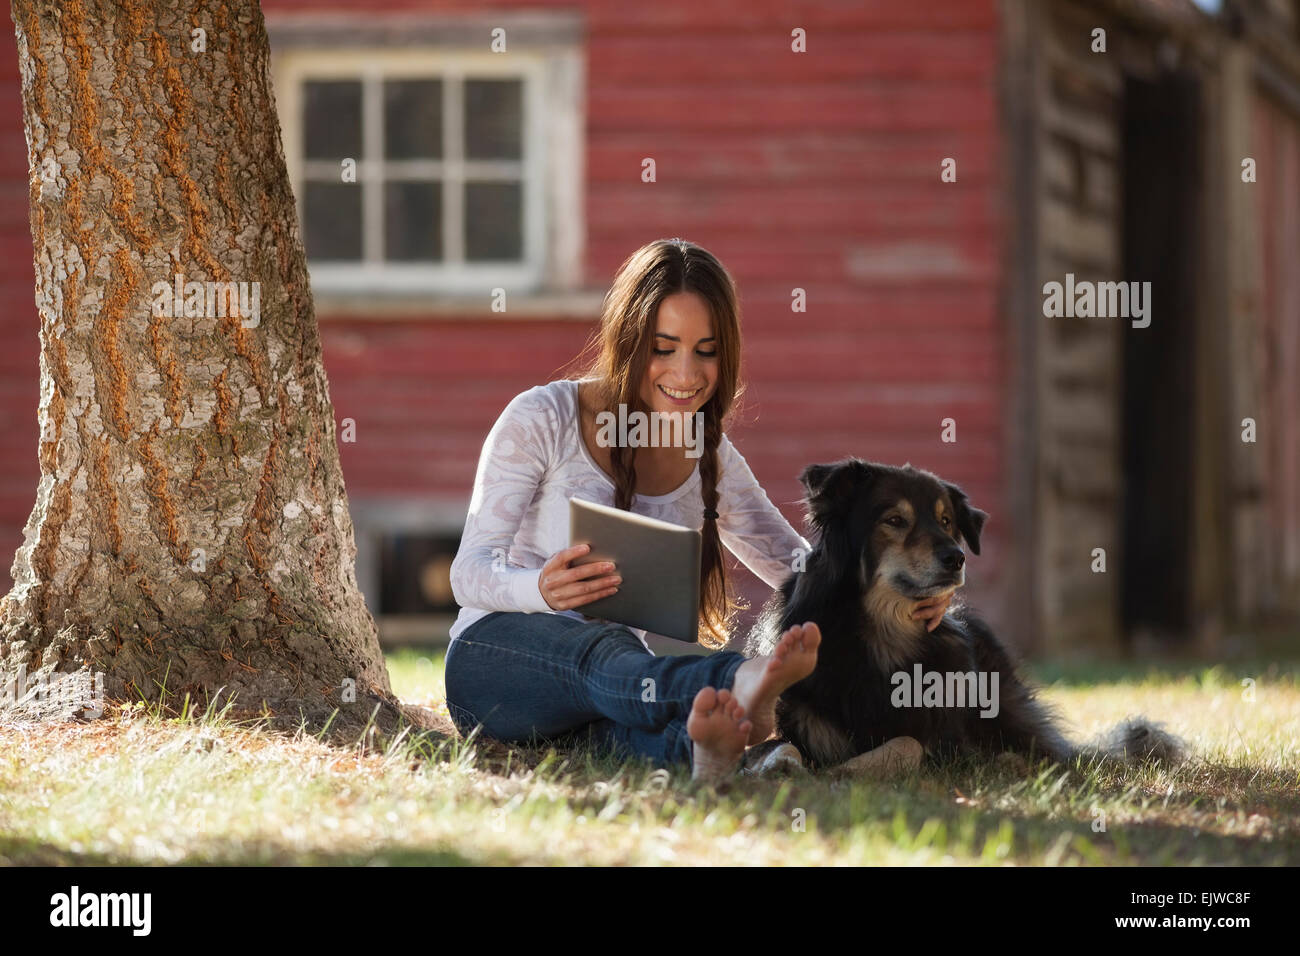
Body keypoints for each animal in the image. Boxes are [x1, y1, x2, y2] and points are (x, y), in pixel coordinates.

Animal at [743, 457, 1180, 780]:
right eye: (894, 521)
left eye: (946, 521)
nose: (956, 557)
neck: (883, 635)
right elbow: (779, 744)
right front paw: (780, 764)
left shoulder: (942, 741)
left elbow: (909, 743)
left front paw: (847, 770)